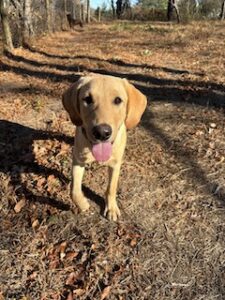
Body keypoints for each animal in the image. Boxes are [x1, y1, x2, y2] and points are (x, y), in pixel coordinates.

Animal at [62, 74, 147, 221]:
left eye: (118, 100)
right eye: (87, 99)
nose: (102, 132)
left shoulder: (115, 164)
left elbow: (111, 188)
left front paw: (111, 208)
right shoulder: (78, 160)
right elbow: (74, 190)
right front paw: (83, 204)